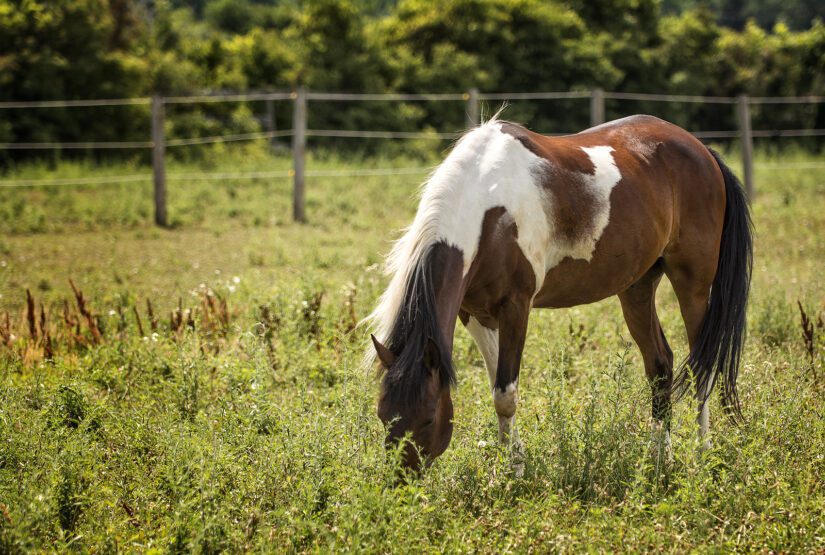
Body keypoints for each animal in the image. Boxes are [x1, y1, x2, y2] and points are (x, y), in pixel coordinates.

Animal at [364, 114, 748, 474]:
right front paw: (509, 466)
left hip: (693, 283)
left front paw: (511, 475)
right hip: (636, 288)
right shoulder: (474, 313)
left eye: (429, 417)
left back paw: (702, 455)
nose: (402, 482)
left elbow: (505, 395)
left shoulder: (516, 307)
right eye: (383, 416)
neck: (488, 210)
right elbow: (495, 386)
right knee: (660, 365)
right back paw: (659, 461)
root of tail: (703, 151)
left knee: (702, 368)